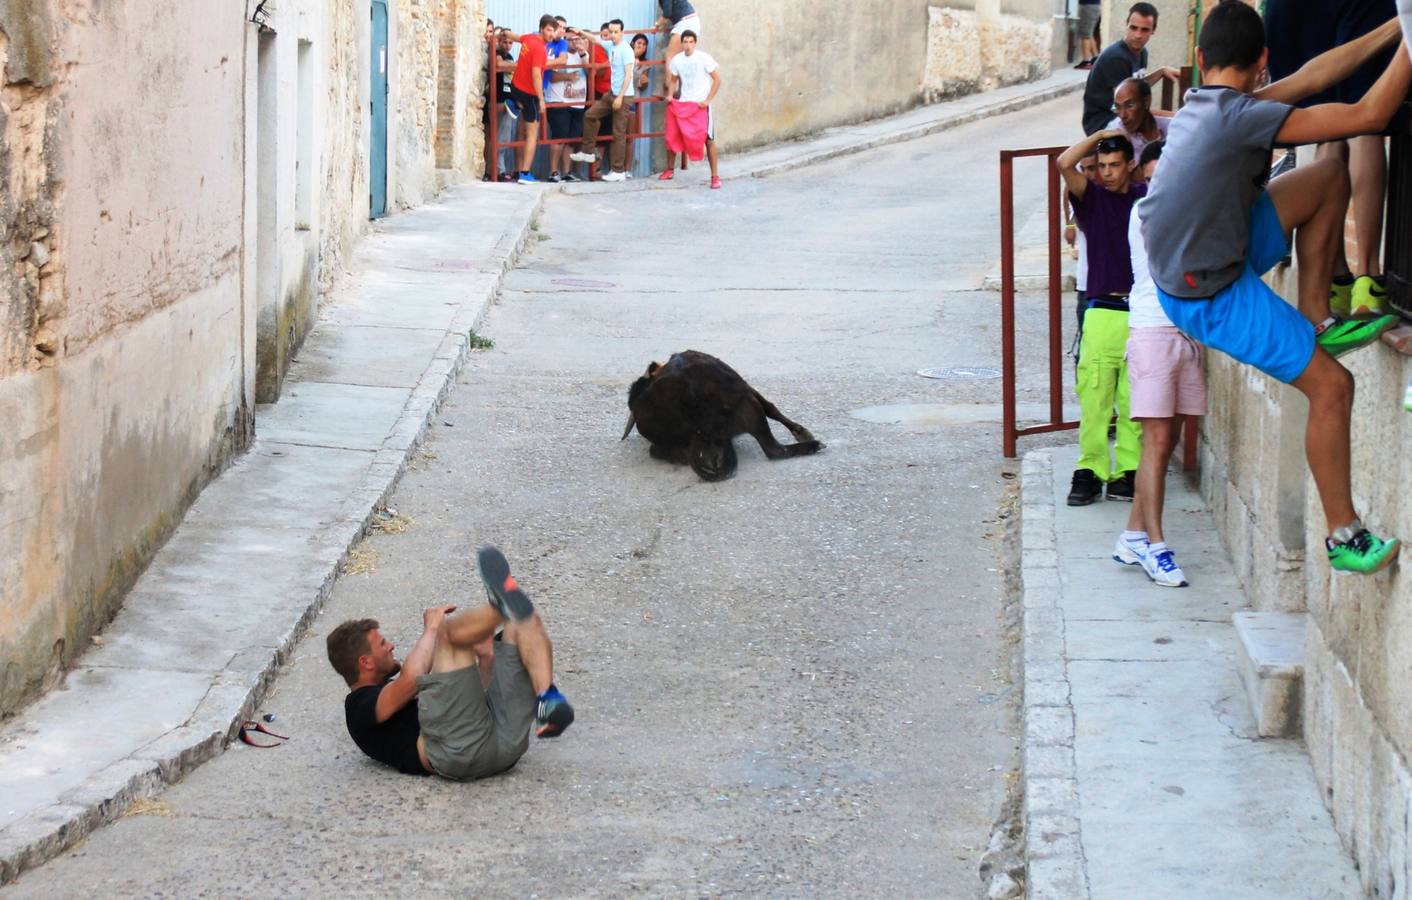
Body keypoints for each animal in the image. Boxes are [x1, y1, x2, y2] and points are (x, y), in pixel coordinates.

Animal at [621, 348, 824, 480]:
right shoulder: (748, 390)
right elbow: (771, 408)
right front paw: (801, 432)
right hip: (749, 406)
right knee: (774, 449)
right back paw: (813, 445)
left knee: (656, 450)